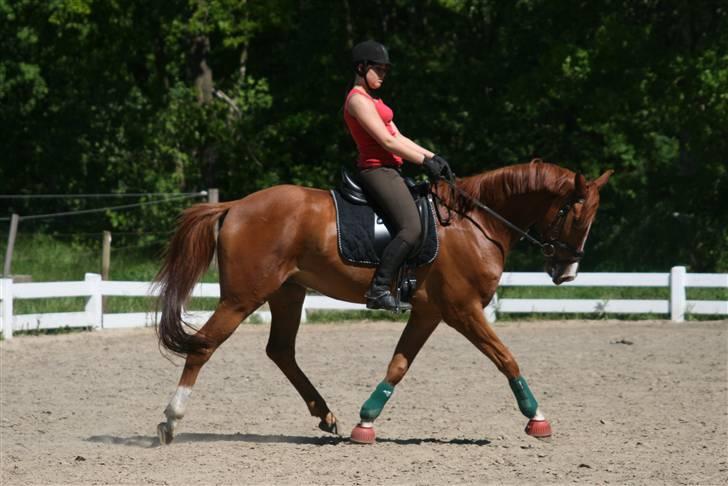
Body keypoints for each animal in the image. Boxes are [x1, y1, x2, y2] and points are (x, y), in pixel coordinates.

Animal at [155, 159, 616, 444]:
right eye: (577, 215)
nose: (567, 272)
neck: (475, 222)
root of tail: (236, 205)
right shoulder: (463, 310)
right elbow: (506, 358)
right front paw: (536, 417)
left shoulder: (430, 312)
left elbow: (399, 364)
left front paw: (366, 420)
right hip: (243, 297)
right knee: (204, 346)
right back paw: (171, 420)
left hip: (288, 292)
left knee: (280, 350)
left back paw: (326, 415)